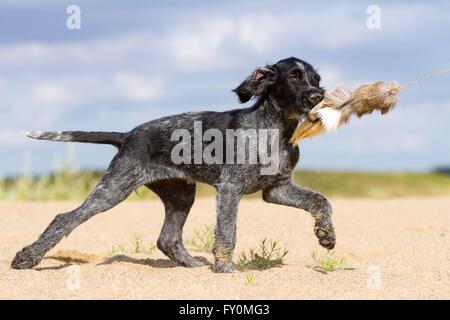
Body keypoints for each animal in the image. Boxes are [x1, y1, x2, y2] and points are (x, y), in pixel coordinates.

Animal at [11, 57, 334, 272]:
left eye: (316, 79)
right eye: (294, 77)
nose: (319, 96)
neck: (276, 128)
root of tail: (127, 136)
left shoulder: (277, 189)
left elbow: (321, 201)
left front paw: (326, 234)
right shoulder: (230, 188)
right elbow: (227, 233)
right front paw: (224, 270)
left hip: (180, 194)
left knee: (167, 239)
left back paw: (192, 265)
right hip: (113, 189)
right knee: (64, 218)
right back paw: (27, 258)